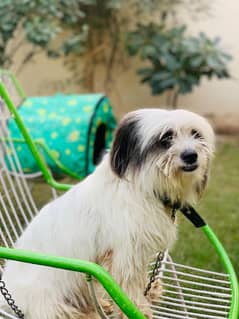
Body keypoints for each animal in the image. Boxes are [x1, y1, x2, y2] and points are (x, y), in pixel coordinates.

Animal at [0, 109, 215, 318]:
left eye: (196, 134)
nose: (191, 155)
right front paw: (138, 309)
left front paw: (149, 290)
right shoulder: (125, 253)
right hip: (49, 298)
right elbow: (129, 286)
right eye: (166, 138)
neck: (143, 185)